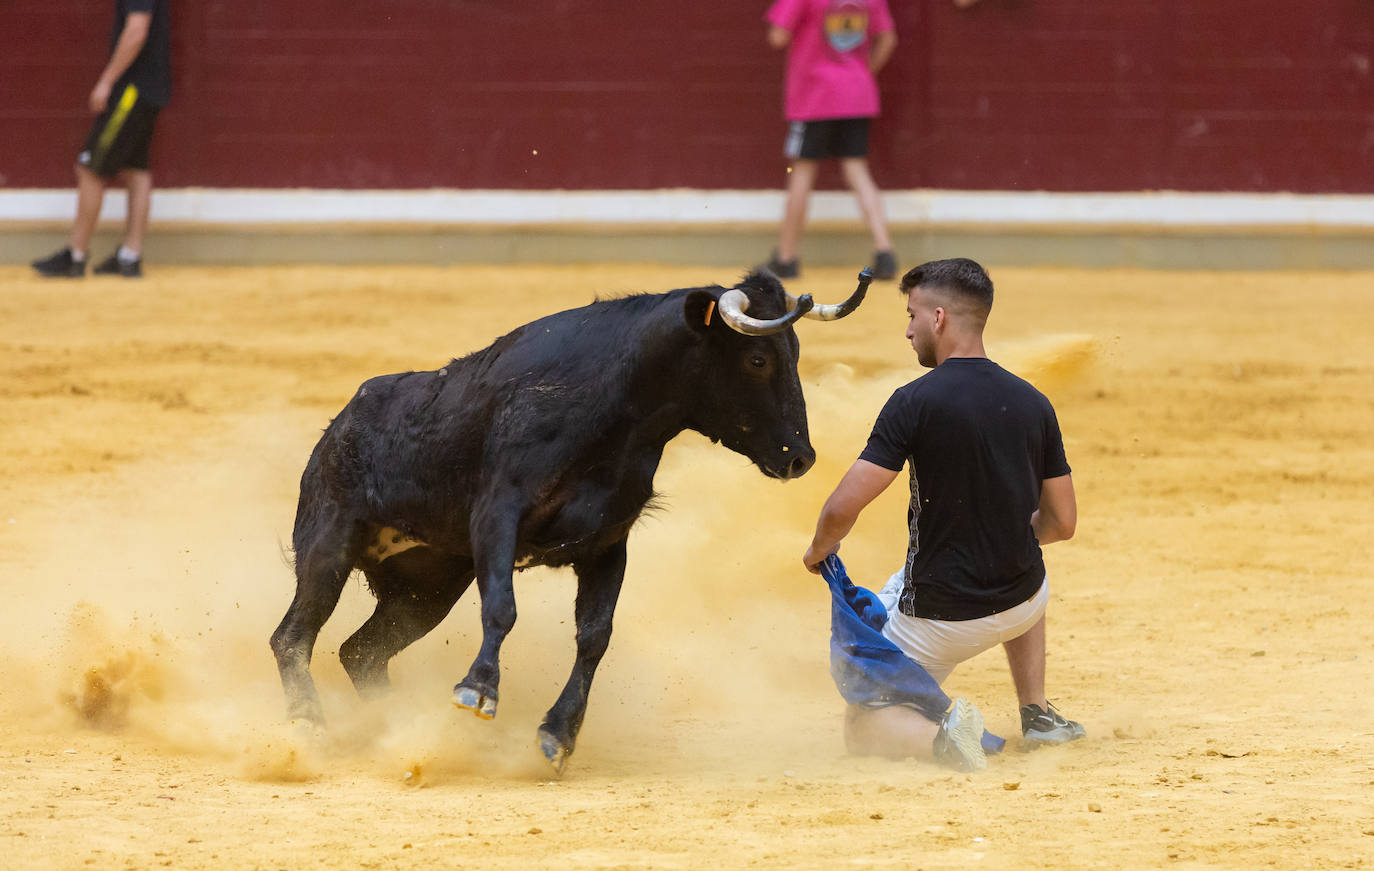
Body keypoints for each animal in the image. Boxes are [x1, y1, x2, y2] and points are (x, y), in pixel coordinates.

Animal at [267, 267, 868, 769]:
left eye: (794, 351)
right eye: (758, 359)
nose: (800, 457)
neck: (618, 406)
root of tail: (337, 426)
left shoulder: (608, 544)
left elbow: (594, 636)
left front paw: (558, 736)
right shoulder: (497, 514)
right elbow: (503, 609)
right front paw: (479, 689)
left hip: (428, 589)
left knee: (361, 651)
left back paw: (391, 724)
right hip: (329, 547)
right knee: (292, 637)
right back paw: (312, 726)